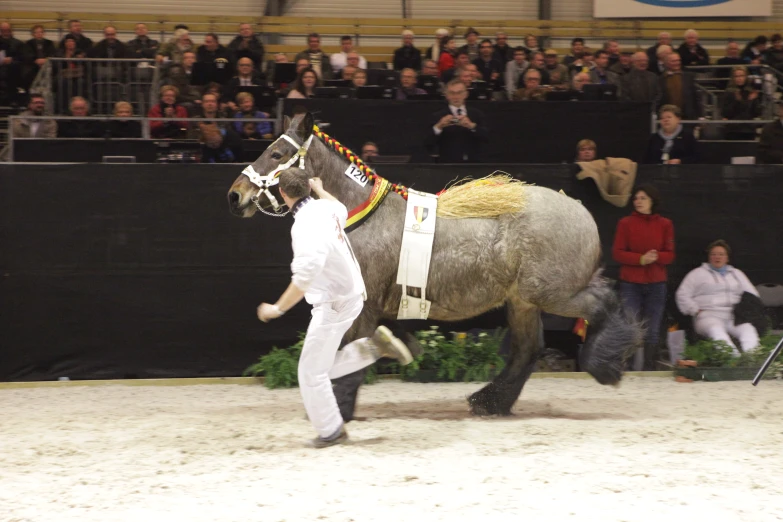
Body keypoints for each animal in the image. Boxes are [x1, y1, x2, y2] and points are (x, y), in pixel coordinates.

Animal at [227, 111, 644, 416]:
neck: (361, 215)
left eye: (276, 154)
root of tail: (581, 210)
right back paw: (489, 402)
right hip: (523, 302)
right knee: (528, 350)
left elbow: (347, 356)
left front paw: (340, 408)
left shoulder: (363, 307)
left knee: (603, 304)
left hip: (553, 293)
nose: (235, 194)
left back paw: (603, 364)